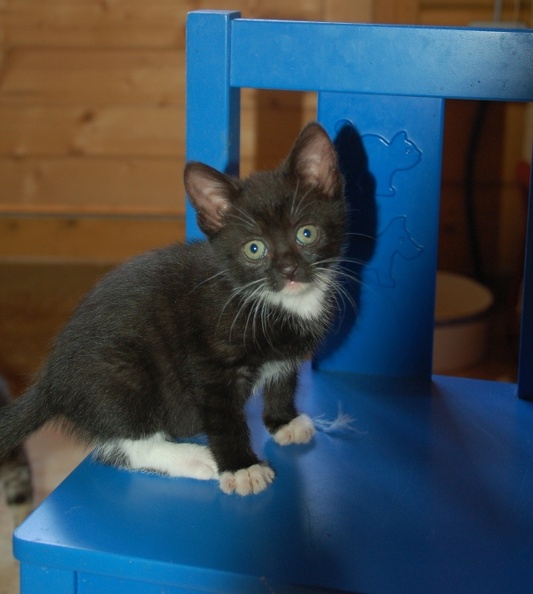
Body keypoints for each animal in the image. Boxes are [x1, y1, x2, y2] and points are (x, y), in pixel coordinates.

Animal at [0, 122, 346, 496]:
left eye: (306, 233)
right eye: (254, 249)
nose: (288, 270)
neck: (274, 301)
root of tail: (50, 382)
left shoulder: (286, 355)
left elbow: (283, 380)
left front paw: (284, 422)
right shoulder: (208, 363)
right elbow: (223, 417)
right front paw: (241, 467)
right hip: (122, 374)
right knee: (122, 445)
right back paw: (198, 458)